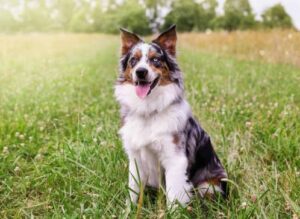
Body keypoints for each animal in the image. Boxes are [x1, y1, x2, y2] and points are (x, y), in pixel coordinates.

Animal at [115, 24, 227, 206]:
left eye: (155, 60)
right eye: (133, 60)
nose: (140, 72)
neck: (148, 109)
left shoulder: (175, 158)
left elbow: (173, 196)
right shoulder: (135, 158)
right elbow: (133, 191)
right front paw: (129, 209)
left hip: (209, 186)